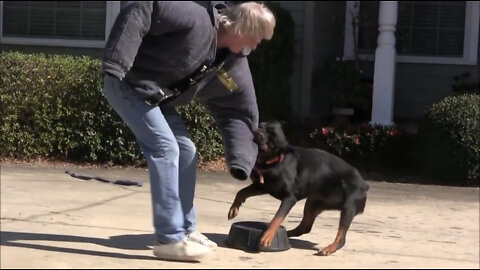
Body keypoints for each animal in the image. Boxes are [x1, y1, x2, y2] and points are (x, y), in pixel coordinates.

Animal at [227, 121, 370, 256]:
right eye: (261, 126)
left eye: (272, 137)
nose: (258, 132)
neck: (274, 161)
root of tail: (365, 185)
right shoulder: (263, 187)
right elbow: (242, 192)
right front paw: (234, 207)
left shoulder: (289, 198)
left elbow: (277, 218)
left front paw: (267, 236)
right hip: (313, 203)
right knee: (305, 227)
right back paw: (289, 234)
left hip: (348, 207)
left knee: (341, 237)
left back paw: (329, 248)